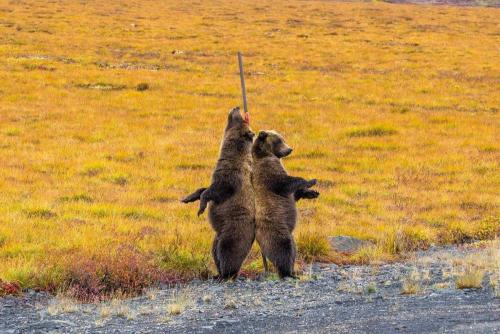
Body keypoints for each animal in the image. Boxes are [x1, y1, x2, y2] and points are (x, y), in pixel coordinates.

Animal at [182, 107, 256, 280]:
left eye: (240, 119)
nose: (236, 107)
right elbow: (205, 189)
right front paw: (188, 198)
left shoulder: (231, 178)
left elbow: (216, 191)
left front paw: (201, 208)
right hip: (218, 234)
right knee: (215, 250)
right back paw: (218, 273)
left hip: (233, 231)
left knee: (227, 251)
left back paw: (226, 274)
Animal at [252, 129, 318, 278]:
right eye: (279, 140)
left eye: (283, 138)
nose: (289, 149)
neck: (265, 155)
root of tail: (259, 242)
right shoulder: (268, 173)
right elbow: (284, 182)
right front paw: (311, 180)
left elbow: (294, 194)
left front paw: (313, 193)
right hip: (275, 230)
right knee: (283, 248)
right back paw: (288, 272)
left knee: (293, 248)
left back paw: (293, 270)